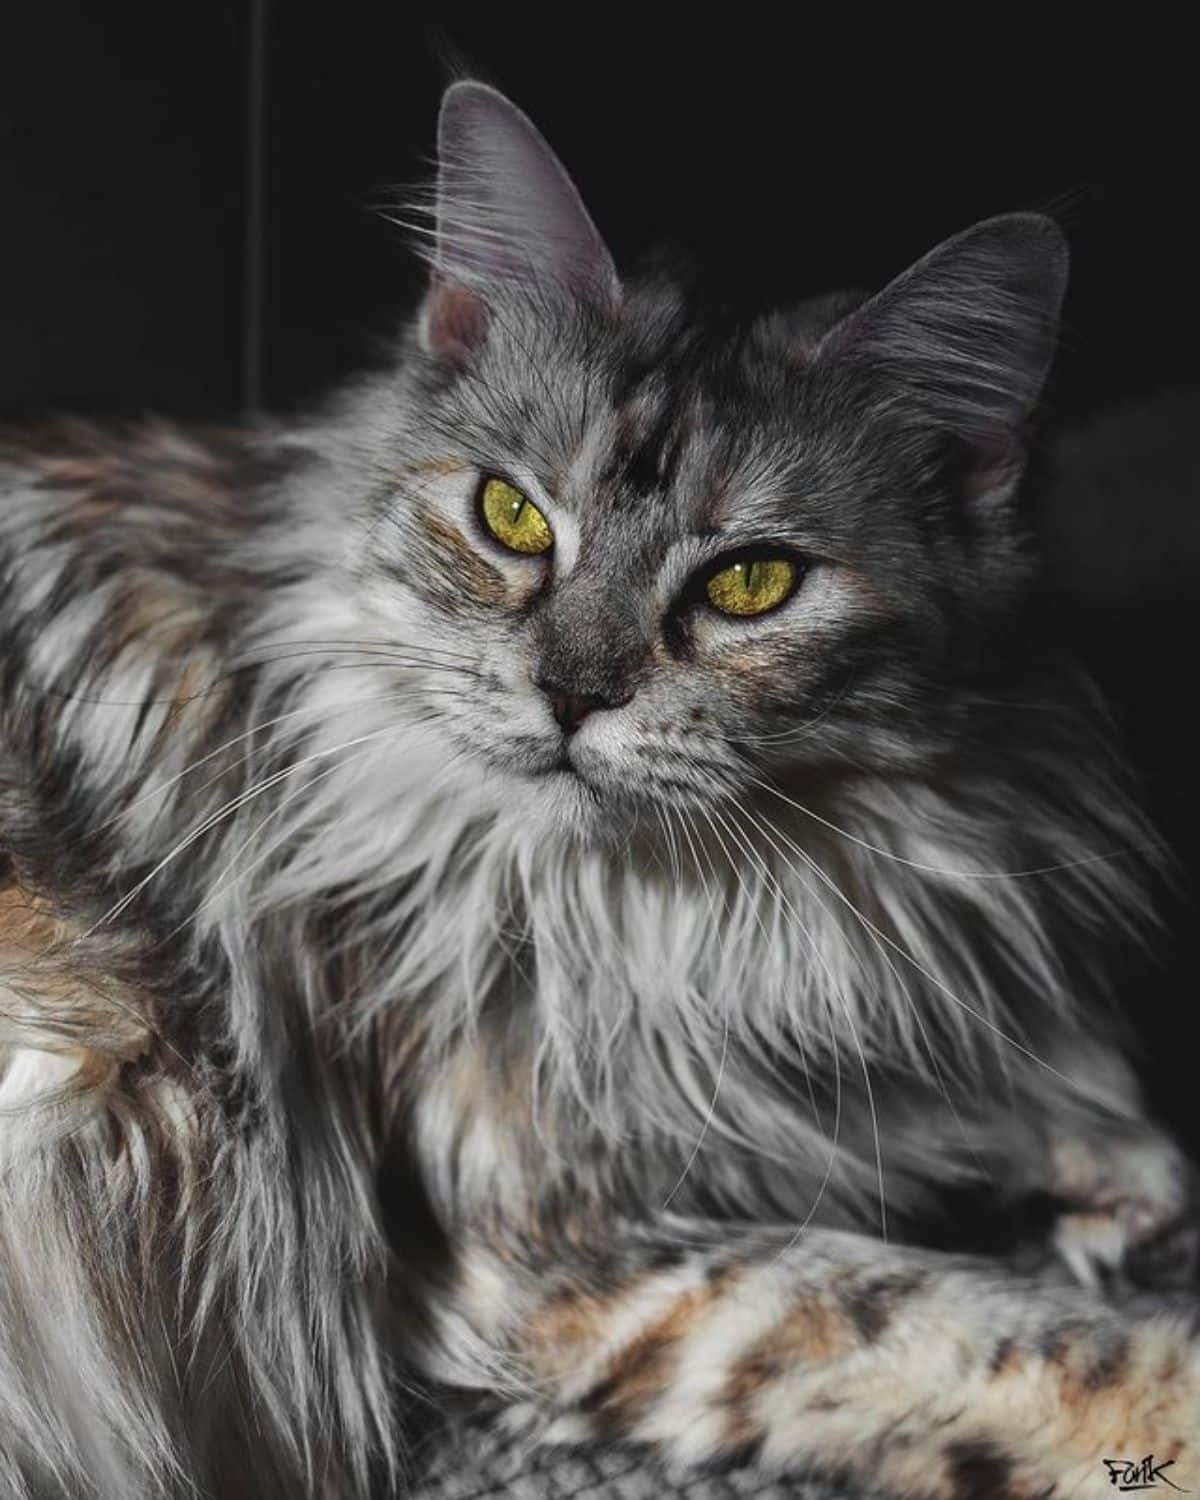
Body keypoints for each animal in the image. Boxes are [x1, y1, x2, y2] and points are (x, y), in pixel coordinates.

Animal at [2, 79, 1200, 1500]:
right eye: (511, 517)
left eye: (752, 583)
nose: (572, 694)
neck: (692, 922)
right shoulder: (545, 1247)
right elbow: (1008, 1332)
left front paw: (1113, 1179)